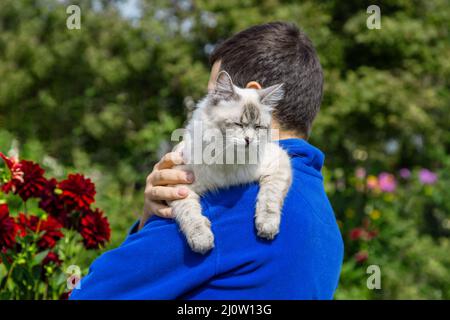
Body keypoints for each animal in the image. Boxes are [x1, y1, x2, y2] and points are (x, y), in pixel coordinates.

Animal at [170, 71, 292, 254]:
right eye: (238, 124)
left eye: (258, 127)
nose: (249, 140)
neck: (229, 158)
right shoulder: (181, 186)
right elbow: (190, 215)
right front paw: (202, 241)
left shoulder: (278, 161)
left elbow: (269, 198)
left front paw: (266, 226)